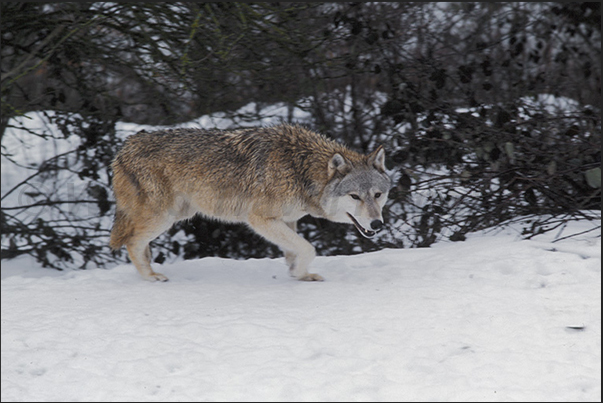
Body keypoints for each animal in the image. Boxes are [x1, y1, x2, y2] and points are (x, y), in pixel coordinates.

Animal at [108, 124, 392, 282]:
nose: (377, 224)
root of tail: (124, 148)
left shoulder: (288, 220)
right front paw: (299, 272)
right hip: (164, 217)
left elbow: (296, 250)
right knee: (132, 242)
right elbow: (308, 248)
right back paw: (151, 277)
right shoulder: (259, 219)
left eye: (378, 195)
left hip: (177, 214)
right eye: (355, 196)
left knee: (140, 245)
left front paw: (298, 274)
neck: (299, 169)